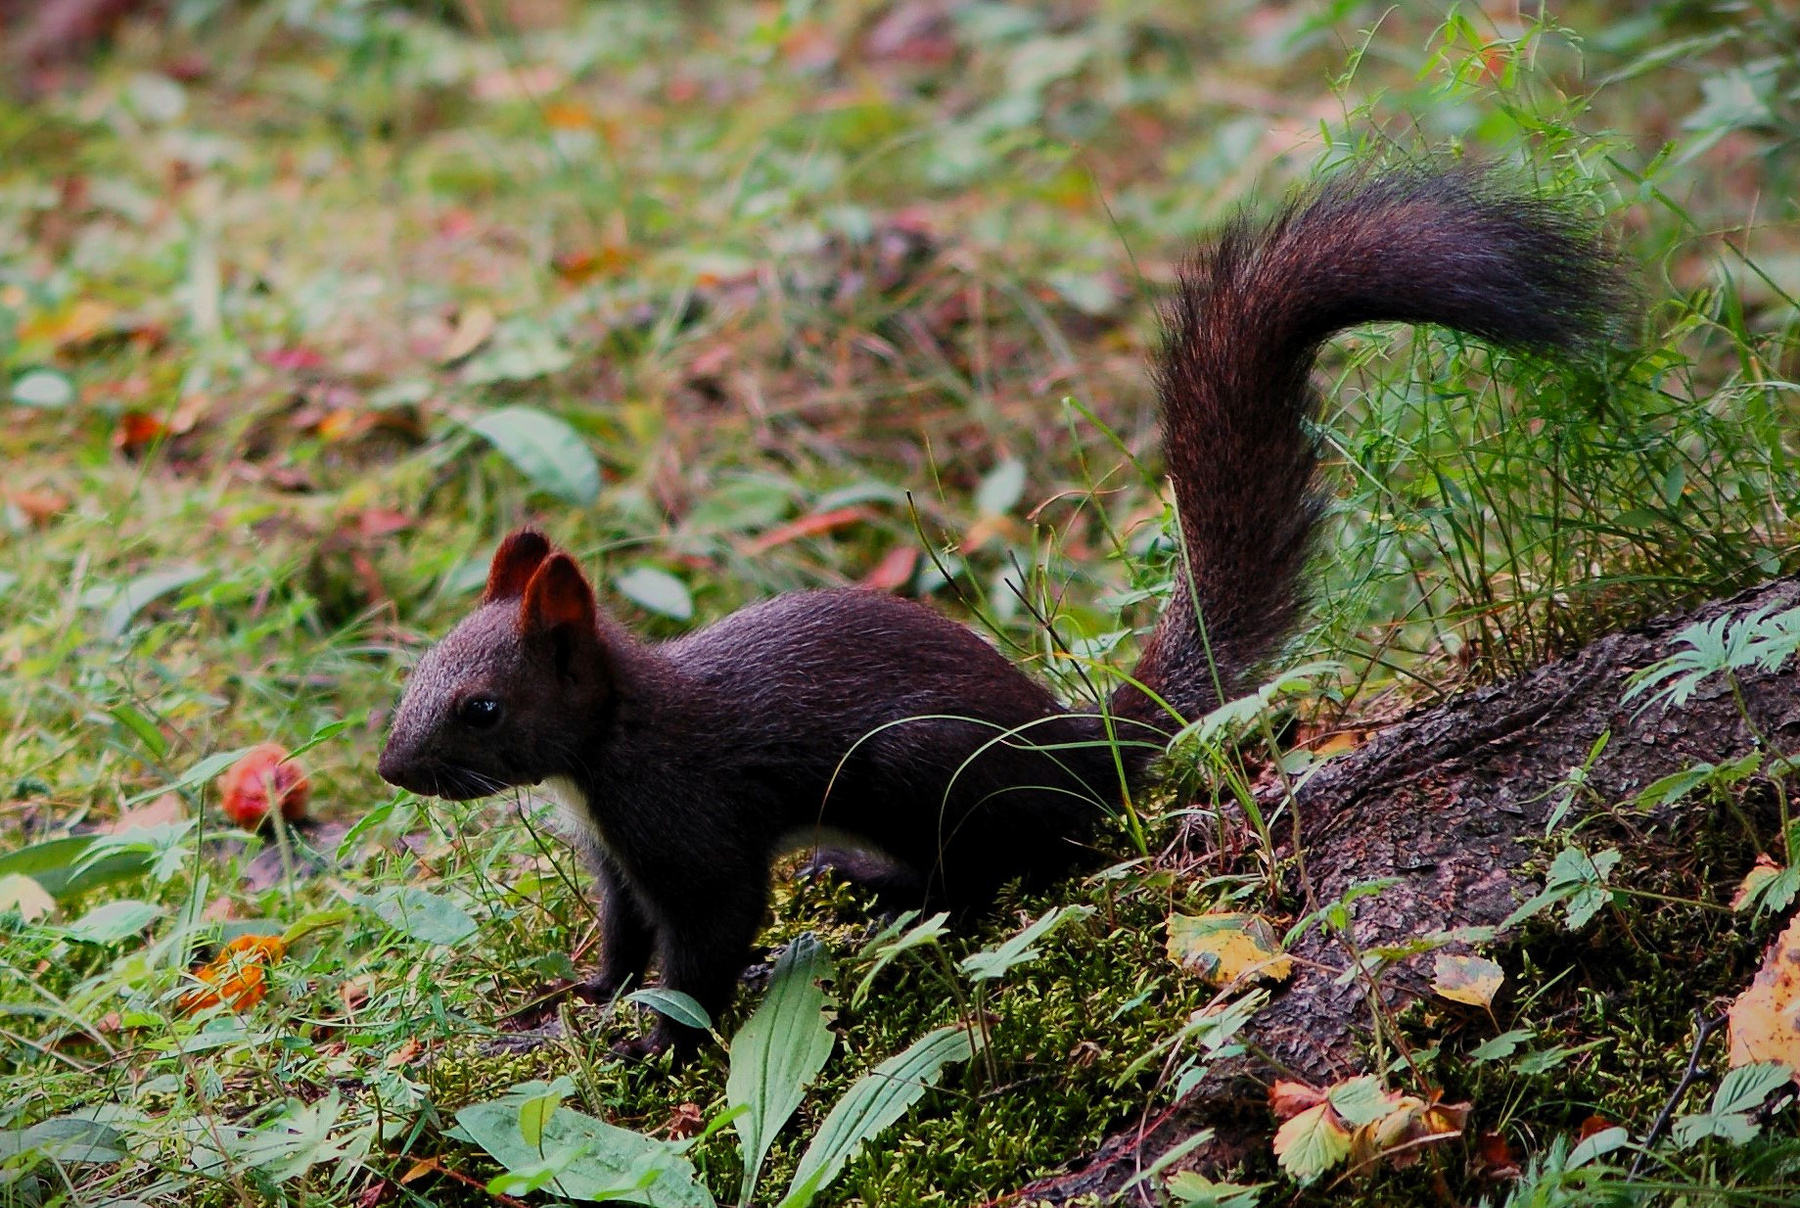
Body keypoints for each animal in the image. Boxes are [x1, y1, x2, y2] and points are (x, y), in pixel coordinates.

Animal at [377, 167, 1624, 1060]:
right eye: (417, 670)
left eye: (481, 706)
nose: (392, 766)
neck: (603, 748)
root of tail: (1083, 744)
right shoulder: (615, 854)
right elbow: (621, 932)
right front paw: (583, 991)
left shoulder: (693, 825)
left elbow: (707, 943)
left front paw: (655, 1043)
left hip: (913, 768)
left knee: (994, 867)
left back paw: (883, 888)